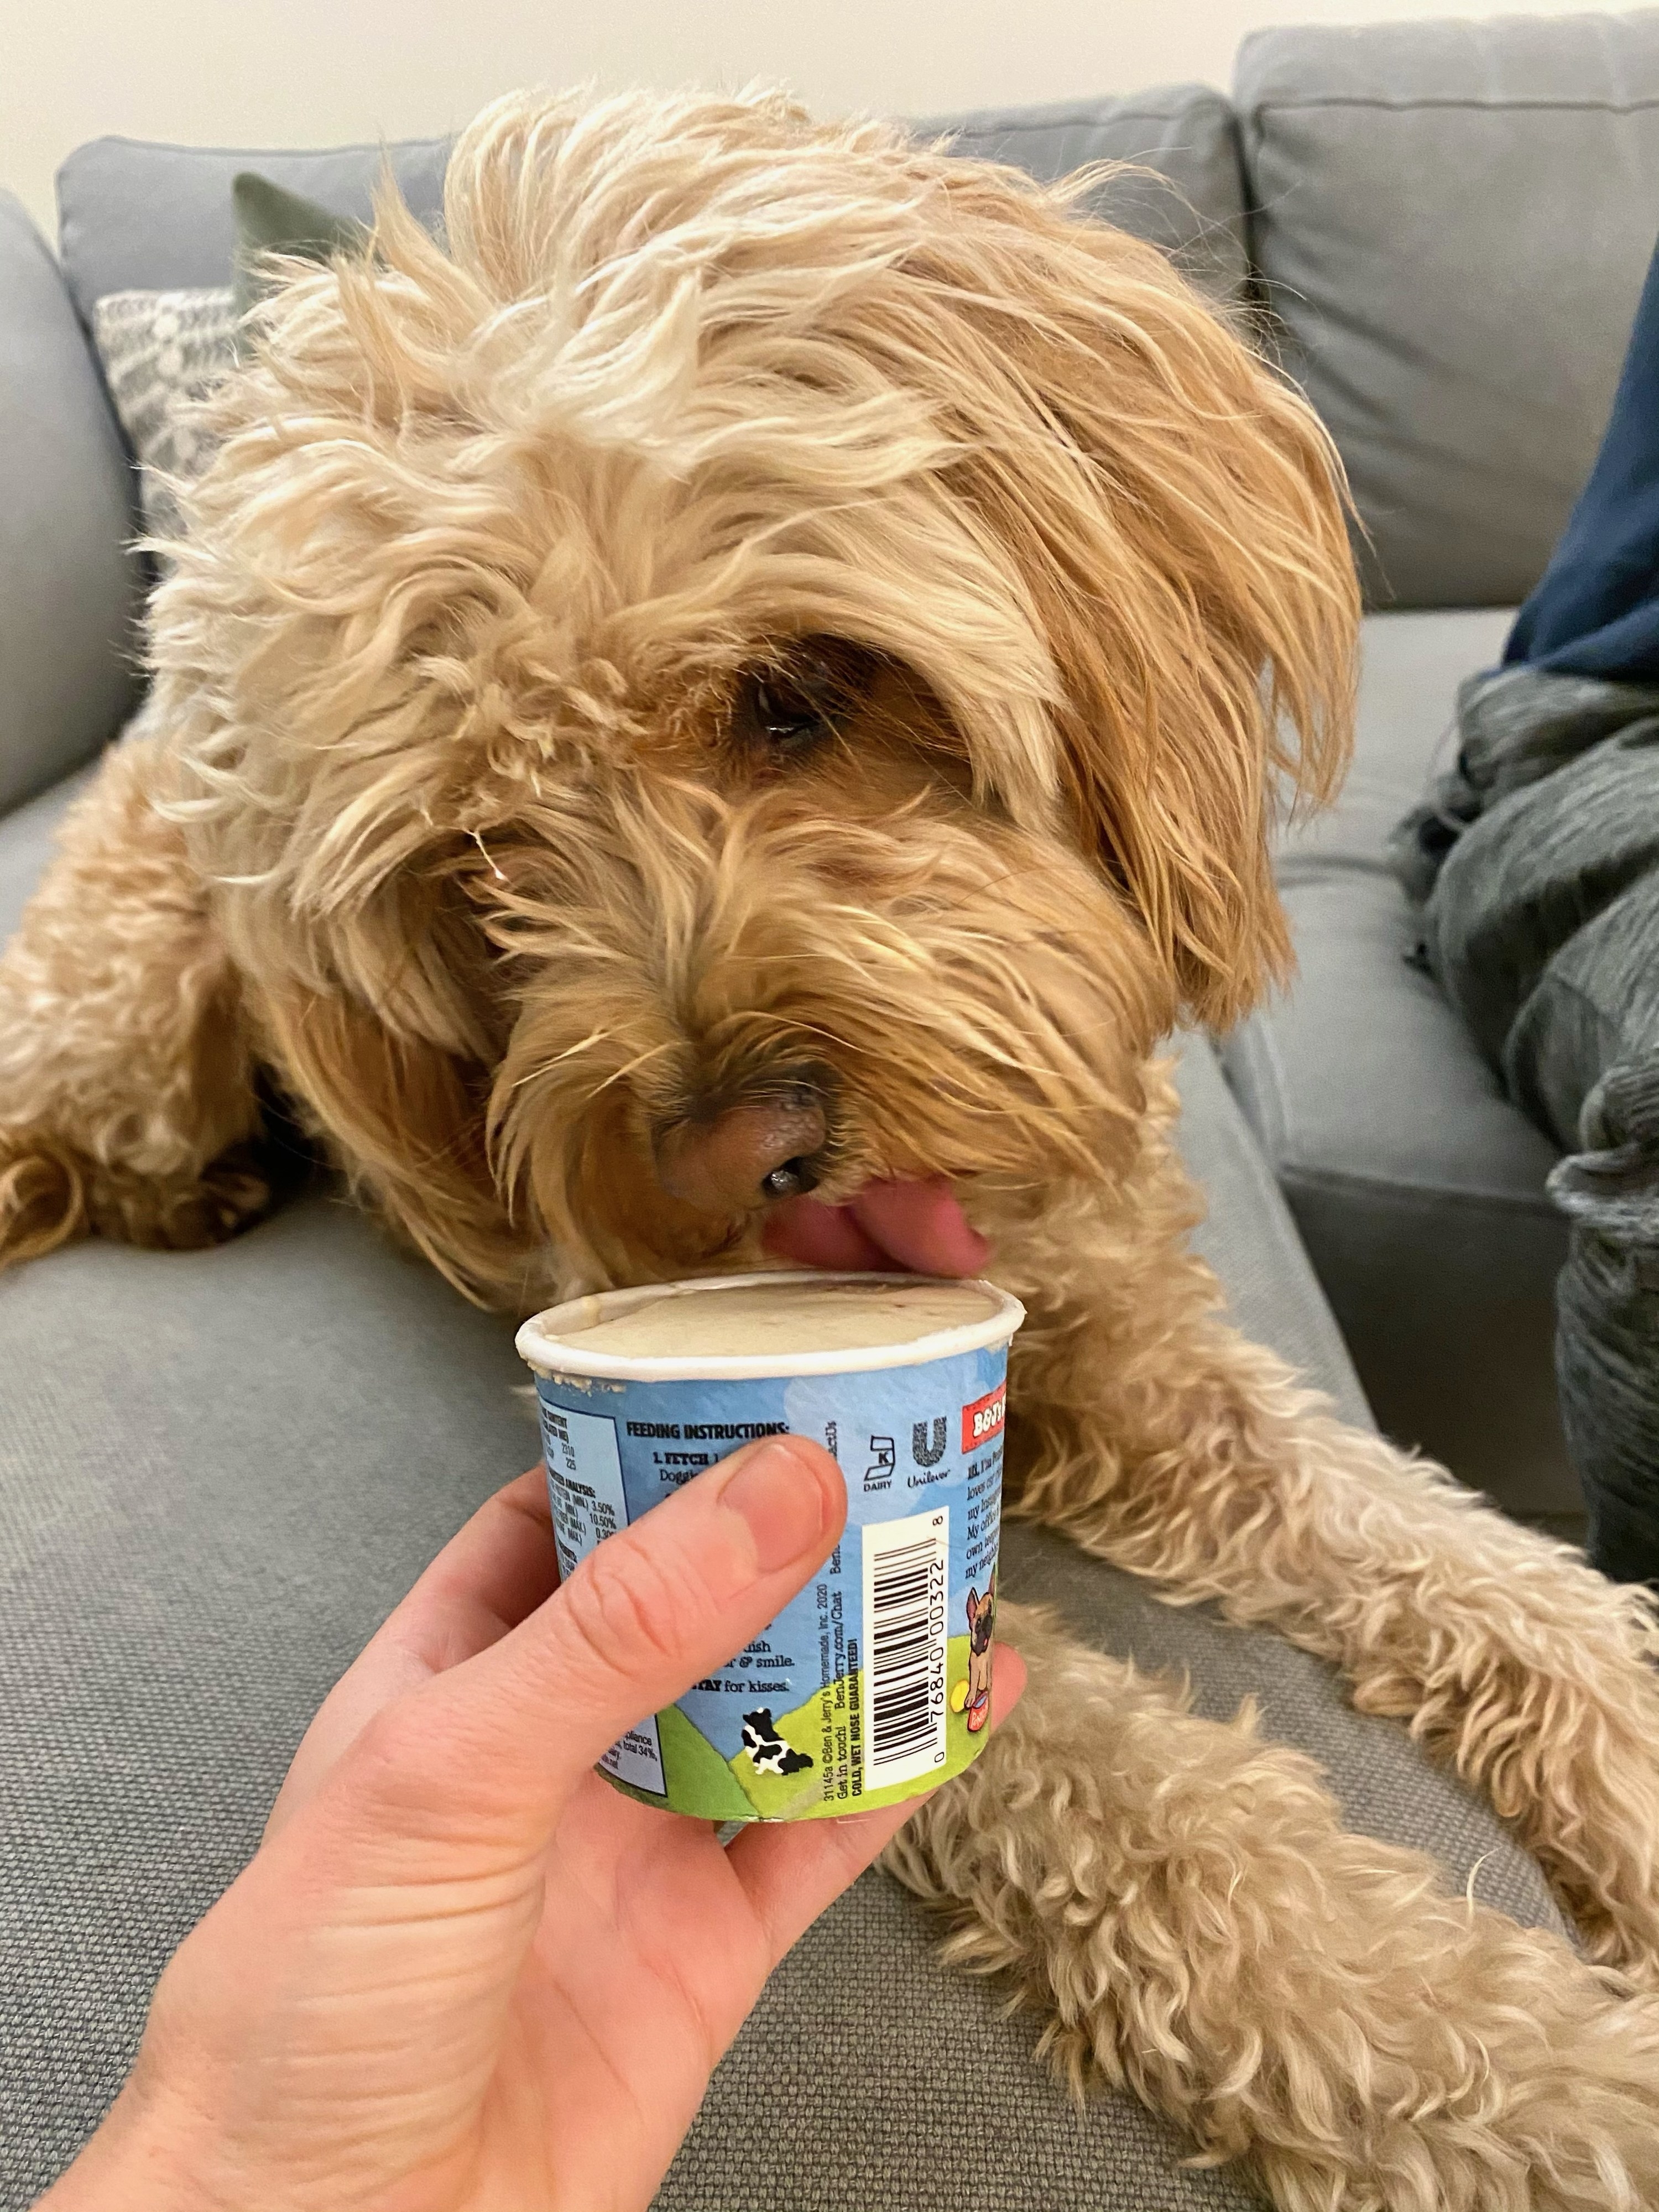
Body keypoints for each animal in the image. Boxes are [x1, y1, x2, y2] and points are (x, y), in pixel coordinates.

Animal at [3, 82, 1659, 2194]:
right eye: (480, 864)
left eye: (796, 689)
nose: (737, 1159)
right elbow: (1190, 1850)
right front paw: (1563, 2081)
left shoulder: (1154, 1369)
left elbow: (1499, 1584)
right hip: (126, 1025)